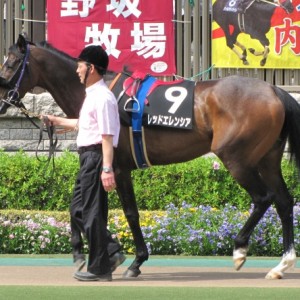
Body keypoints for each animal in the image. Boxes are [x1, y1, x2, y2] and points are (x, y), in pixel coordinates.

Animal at [0, 34, 300, 278]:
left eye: (11, 63)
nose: (2, 101)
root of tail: (275, 90)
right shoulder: (103, 165)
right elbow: (79, 207)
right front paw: (98, 252)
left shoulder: (118, 166)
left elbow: (129, 213)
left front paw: (135, 260)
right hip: (268, 158)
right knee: (284, 202)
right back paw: (282, 264)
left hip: (236, 158)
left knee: (263, 198)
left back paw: (240, 250)